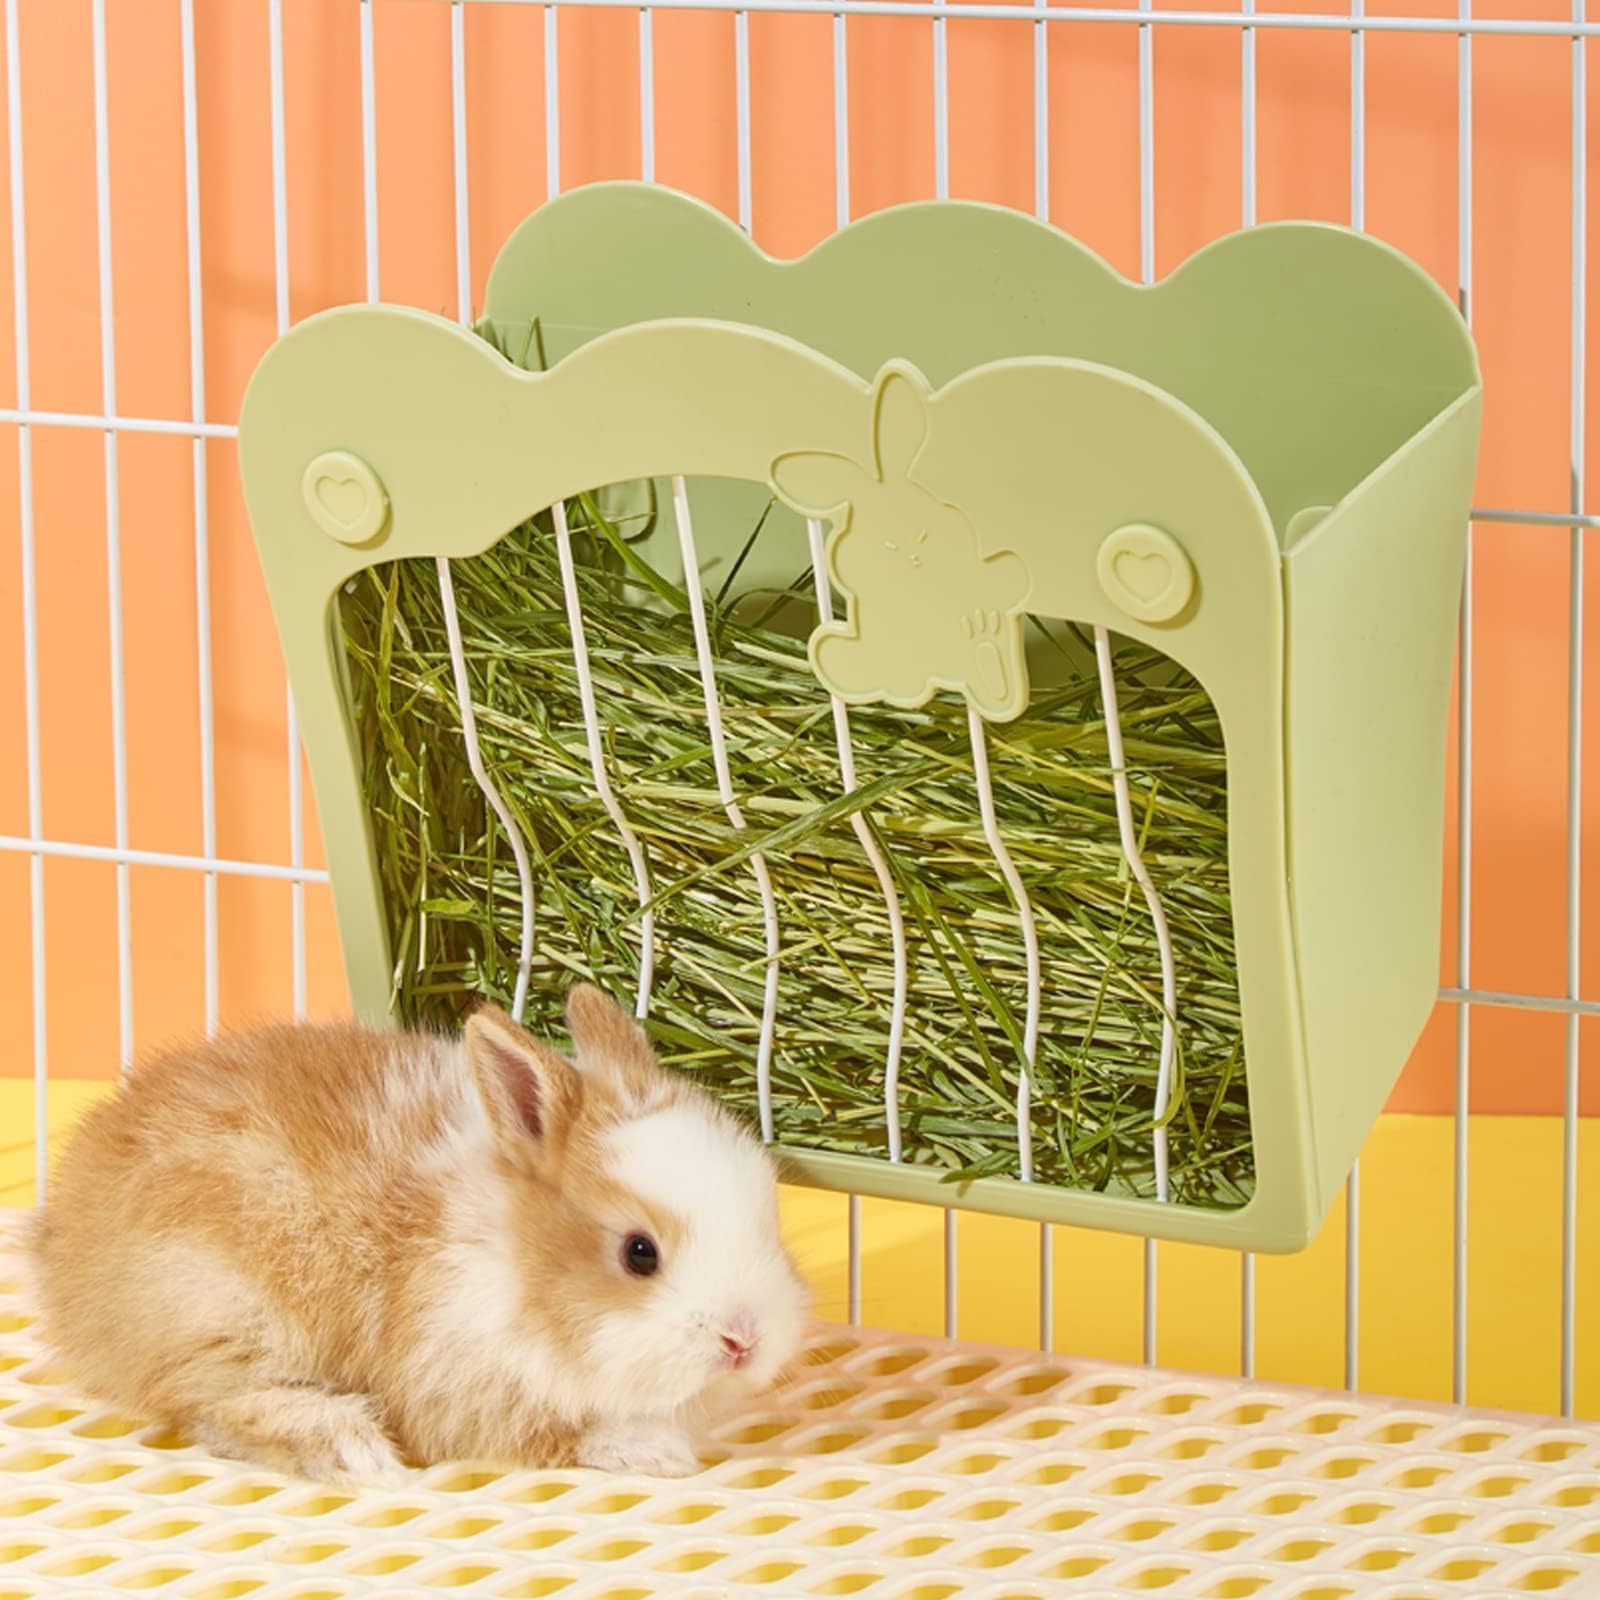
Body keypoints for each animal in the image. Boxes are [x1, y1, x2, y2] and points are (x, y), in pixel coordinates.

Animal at [28, 983, 810, 1484]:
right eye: (638, 1253)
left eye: (769, 1218)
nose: (746, 1341)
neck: (511, 1261)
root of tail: (64, 1244)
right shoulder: (455, 1384)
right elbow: (553, 1434)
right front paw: (653, 1452)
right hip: (230, 1317)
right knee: (212, 1404)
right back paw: (349, 1448)